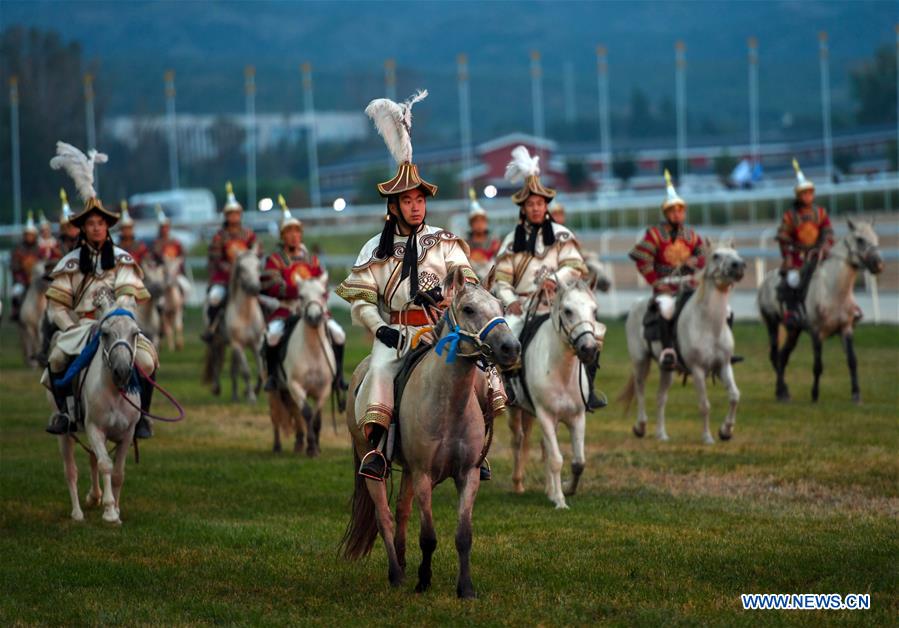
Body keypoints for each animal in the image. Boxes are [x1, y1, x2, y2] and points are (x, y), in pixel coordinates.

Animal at [207, 251, 268, 402]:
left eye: (258, 266)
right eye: (241, 268)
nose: (254, 288)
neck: (245, 314)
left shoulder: (255, 344)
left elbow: (260, 370)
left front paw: (256, 391)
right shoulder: (237, 344)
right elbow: (246, 371)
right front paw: (251, 396)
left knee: (233, 370)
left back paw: (235, 395)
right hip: (217, 342)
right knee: (216, 362)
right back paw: (216, 388)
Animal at [340, 268, 520, 600]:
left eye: (501, 307)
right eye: (468, 309)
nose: (510, 348)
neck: (447, 403)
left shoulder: (468, 474)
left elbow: (463, 535)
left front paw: (466, 588)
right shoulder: (424, 474)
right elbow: (428, 536)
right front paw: (423, 581)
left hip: (410, 472)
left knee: (401, 512)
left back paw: (401, 561)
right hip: (370, 460)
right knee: (385, 516)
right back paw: (397, 574)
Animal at [510, 280, 608, 510]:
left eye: (595, 310)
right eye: (568, 311)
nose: (588, 349)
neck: (560, 372)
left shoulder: (577, 418)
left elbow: (578, 462)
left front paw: (565, 489)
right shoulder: (545, 416)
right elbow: (556, 459)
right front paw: (561, 501)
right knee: (518, 440)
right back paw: (518, 484)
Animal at [760, 221, 884, 404]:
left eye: (875, 237)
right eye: (860, 239)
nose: (879, 265)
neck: (834, 291)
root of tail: (765, 283)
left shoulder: (846, 329)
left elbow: (852, 360)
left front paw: (856, 394)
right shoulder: (817, 332)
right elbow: (818, 365)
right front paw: (814, 395)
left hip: (793, 331)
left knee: (783, 357)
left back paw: (782, 392)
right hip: (772, 324)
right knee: (775, 355)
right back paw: (782, 391)